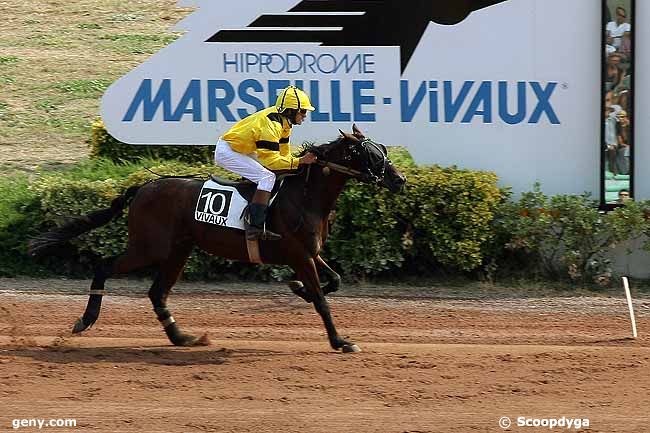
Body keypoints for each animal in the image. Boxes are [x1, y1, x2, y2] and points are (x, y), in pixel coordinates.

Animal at [31, 124, 404, 352]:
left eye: (383, 149)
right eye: (372, 155)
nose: (399, 180)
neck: (304, 196)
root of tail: (142, 187)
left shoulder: (308, 253)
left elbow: (334, 280)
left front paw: (299, 289)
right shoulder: (299, 256)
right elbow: (323, 301)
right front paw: (341, 341)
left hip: (179, 250)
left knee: (157, 293)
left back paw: (181, 336)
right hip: (149, 247)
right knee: (104, 267)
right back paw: (85, 319)